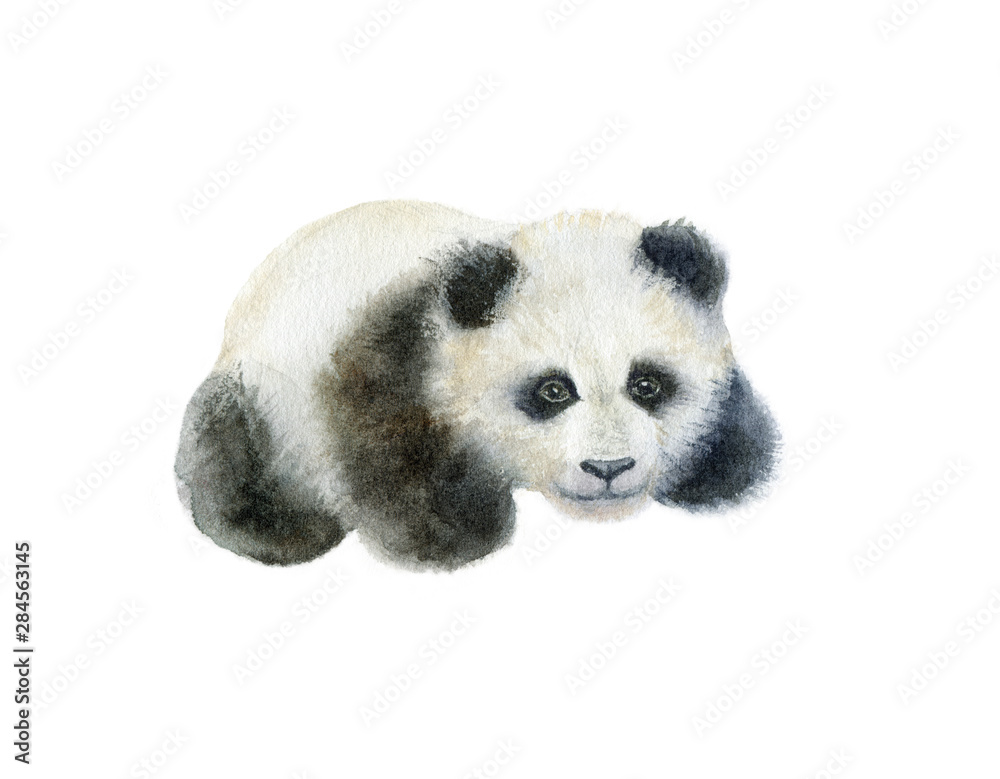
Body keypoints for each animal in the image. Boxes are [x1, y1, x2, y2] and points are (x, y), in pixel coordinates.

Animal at [175, 200, 778, 570]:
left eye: (648, 384)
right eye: (553, 390)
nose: (609, 469)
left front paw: (722, 470)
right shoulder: (386, 358)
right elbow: (380, 454)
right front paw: (453, 535)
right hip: (257, 395)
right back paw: (277, 531)